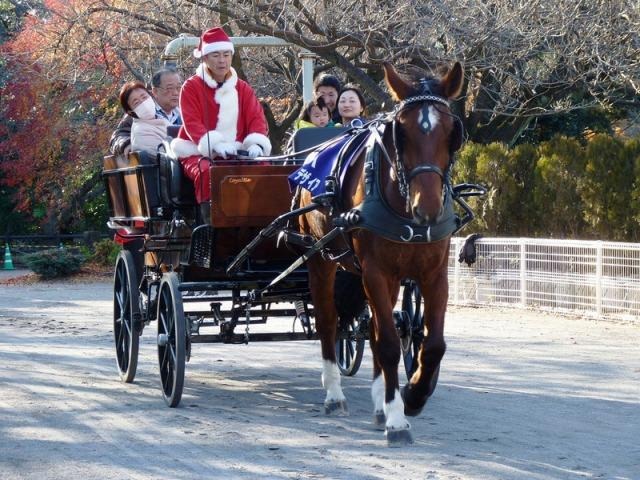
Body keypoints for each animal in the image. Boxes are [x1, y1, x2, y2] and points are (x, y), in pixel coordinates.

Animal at [298, 61, 462, 446]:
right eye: (401, 133)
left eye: (452, 131)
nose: (427, 208)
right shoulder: (375, 271)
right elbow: (387, 342)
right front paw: (398, 420)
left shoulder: (434, 274)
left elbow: (433, 345)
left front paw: (413, 395)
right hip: (319, 258)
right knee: (328, 321)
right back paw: (335, 394)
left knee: (371, 328)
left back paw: (379, 402)